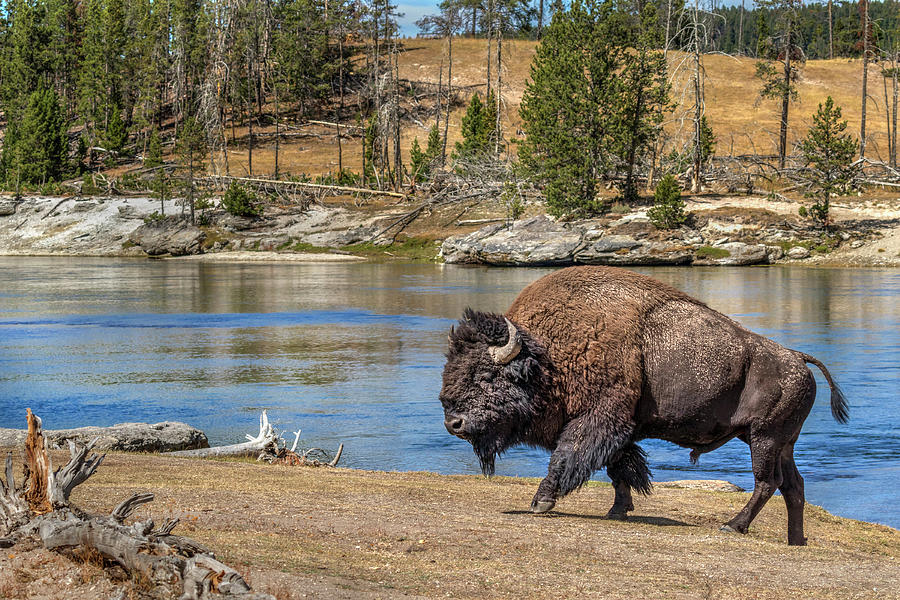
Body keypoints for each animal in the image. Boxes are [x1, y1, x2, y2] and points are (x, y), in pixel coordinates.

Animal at [440, 266, 848, 544]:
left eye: (486, 375)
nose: (453, 422)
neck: (545, 355)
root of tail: (797, 358)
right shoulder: (619, 428)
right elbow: (619, 467)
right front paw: (618, 510)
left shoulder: (598, 418)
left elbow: (569, 457)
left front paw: (541, 502)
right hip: (779, 442)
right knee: (793, 486)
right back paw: (795, 540)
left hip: (764, 438)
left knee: (767, 482)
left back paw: (732, 526)